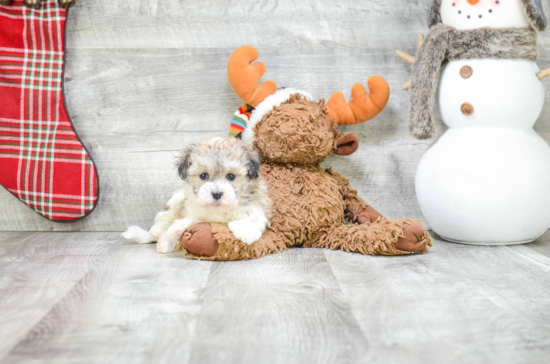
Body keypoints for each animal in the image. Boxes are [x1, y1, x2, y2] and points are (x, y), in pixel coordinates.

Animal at [123, 136, 274, 253]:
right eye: (203, 175)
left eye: (231, 176)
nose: (217, 194)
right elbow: (191, 219)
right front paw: (172, 232)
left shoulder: (258, 199)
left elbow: (255, 213)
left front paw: (246, 229)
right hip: (176, 198)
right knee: (163, 217)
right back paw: (159, 232)